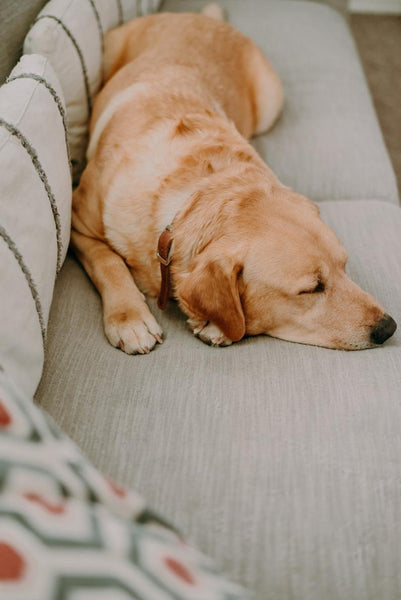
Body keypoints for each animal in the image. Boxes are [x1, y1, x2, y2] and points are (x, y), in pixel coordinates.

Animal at [70, 2, 396, 354]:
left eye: (345, 266)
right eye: (312, 289)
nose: (388, 327)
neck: (193, 195)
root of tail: (202, 17)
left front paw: (215, 325)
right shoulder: (76, 219)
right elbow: (108, 262)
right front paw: (129, 318)